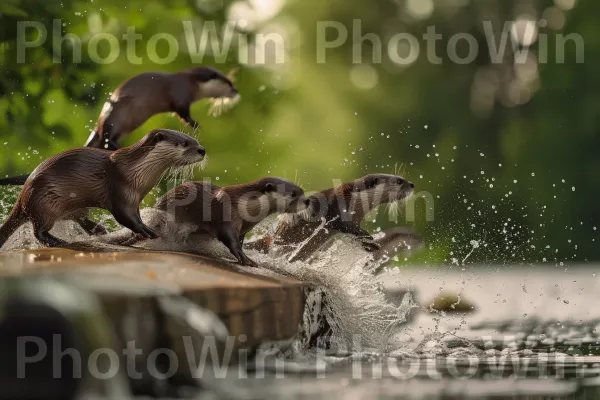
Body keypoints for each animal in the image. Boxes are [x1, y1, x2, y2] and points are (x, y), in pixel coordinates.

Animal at [0, 129, 205, 247]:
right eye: (185, 143)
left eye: (194, 140)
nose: (202, 150)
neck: (137, 171)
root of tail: (23, 196)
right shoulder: (121, 190)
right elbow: (125, 217)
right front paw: (146, 230)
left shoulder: (135, 200)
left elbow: (135, 216)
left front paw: (140, 231)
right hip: (44, 203)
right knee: (38, 231)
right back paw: (58, 241)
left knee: (80, 218)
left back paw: (98, 230)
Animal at [84, 66, 239, 149]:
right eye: (228, 83)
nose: (236, 91)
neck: (189, 84)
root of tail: (98, 125)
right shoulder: (180, 95)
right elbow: (183, 113)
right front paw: (196, 124)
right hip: (115, 115)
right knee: (107, 136)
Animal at [120, 177, 312, 266]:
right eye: (294, 193)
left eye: (302, 191)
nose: (308, 201)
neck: (243, 204)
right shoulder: (227, 215)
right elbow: (230, 240)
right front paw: (246, 259)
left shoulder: (243, 228)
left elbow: (239, 241)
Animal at [246, 173, 414, 260]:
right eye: (399, 181)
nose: (412, 184)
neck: (353, 198)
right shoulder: (339, 212)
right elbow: (347, 226)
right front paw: (371, 241)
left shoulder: (355, 219)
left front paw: (369, 245)